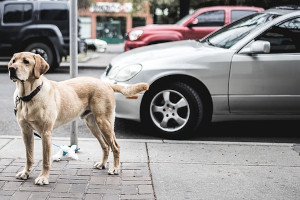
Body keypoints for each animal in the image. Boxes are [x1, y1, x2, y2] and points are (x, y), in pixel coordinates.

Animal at [8, 51, 149, 184]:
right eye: (13, 61)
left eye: (26, 61)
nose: (11, 69)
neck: (29, 96)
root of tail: (106, 84)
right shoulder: (26, 132)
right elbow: (29, 156)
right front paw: (26, 173)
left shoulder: (46, 132)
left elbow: (46, 160)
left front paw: (43, 178)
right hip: (93, 124)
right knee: (105, 146)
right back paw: (102, 164)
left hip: (104, 122)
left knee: (115, 146)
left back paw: (115, 168)